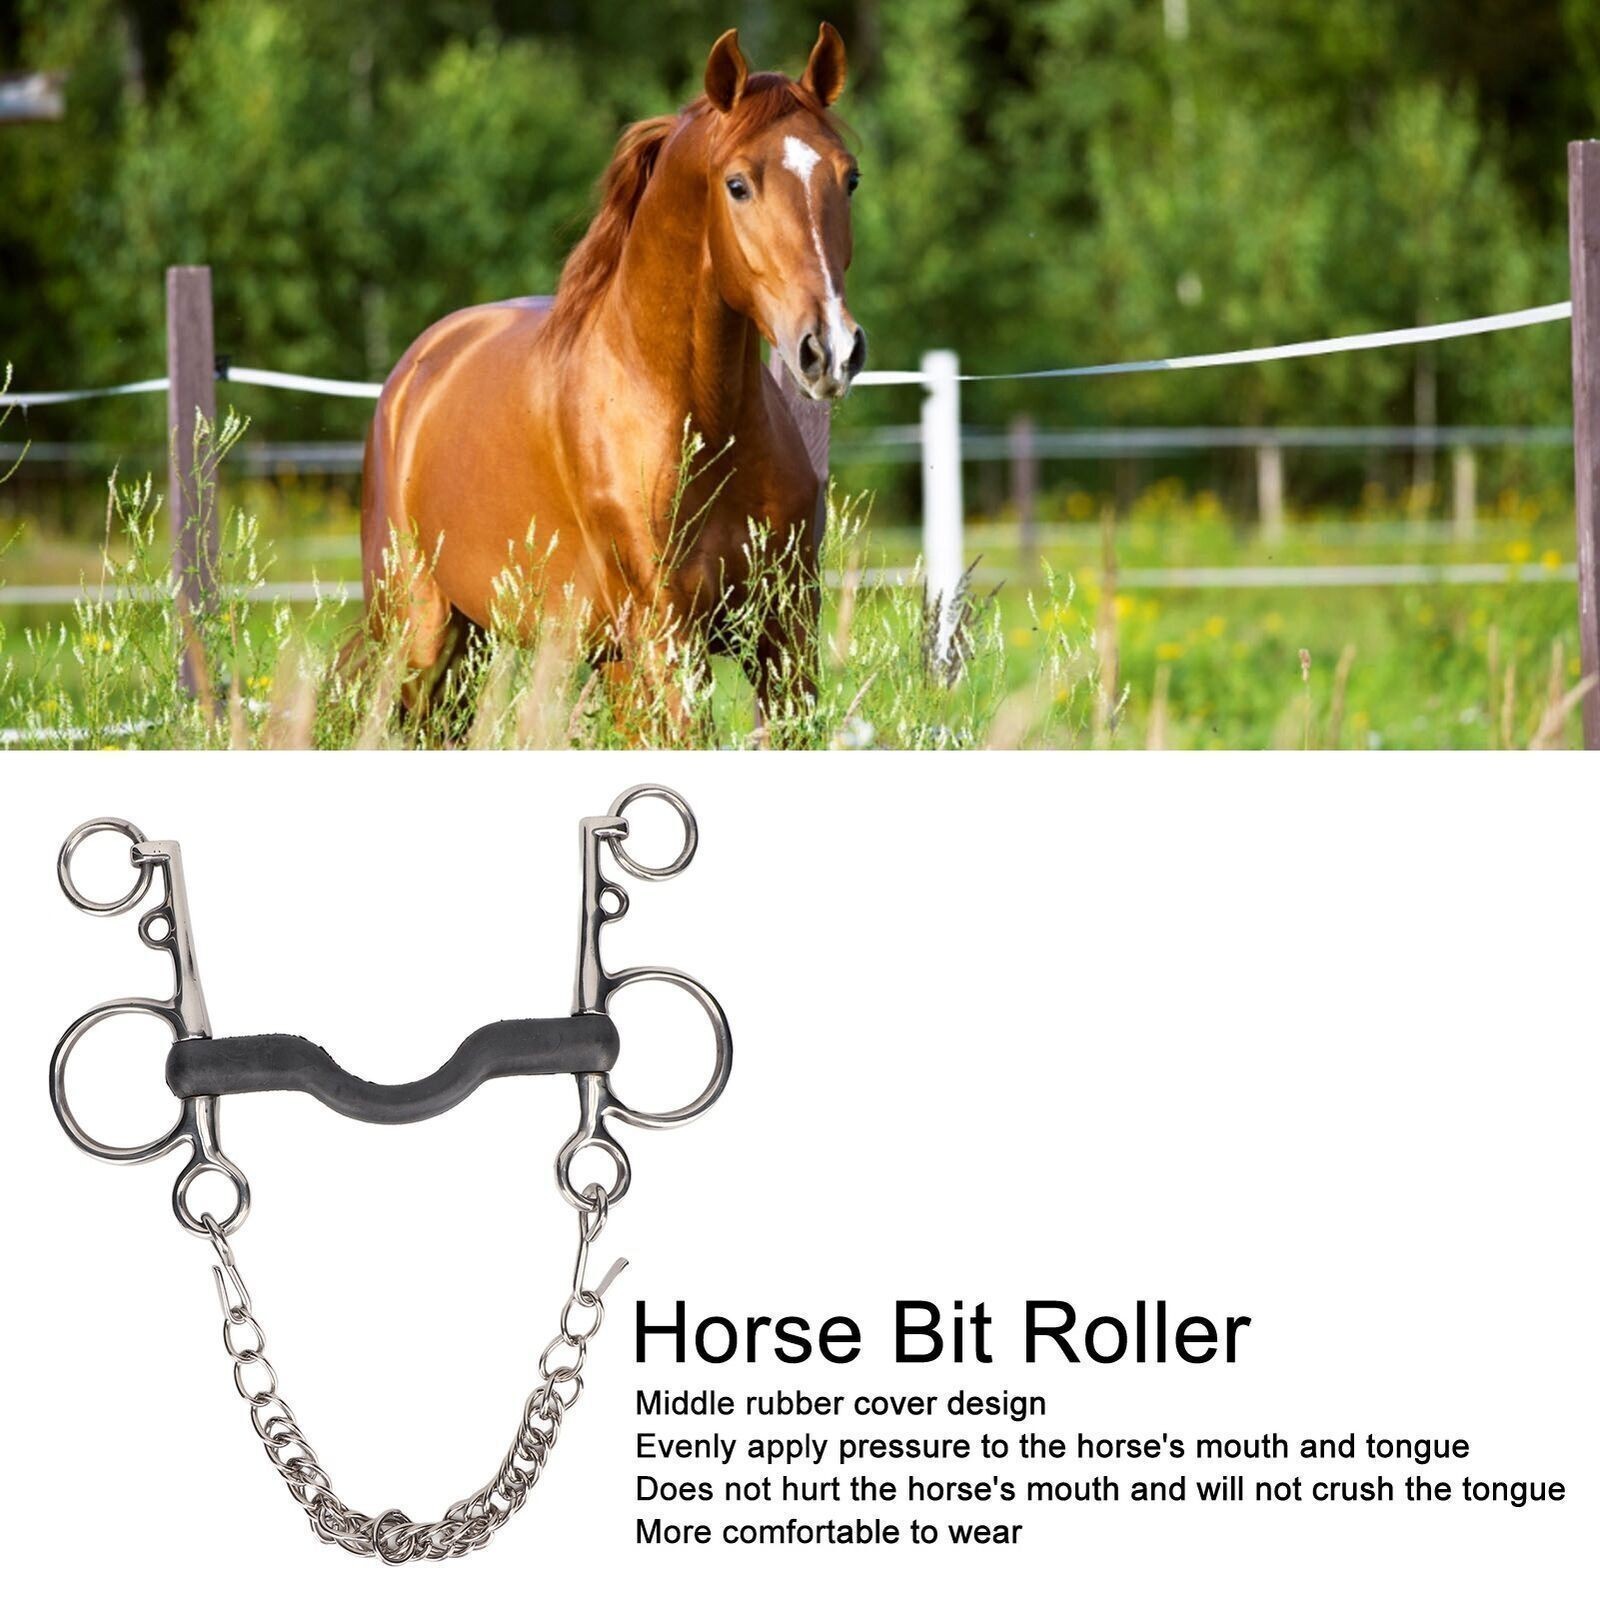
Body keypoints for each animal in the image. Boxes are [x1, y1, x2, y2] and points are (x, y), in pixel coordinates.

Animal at [360, 23, 866, 722]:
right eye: (738, 184)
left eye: (850, 178)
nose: (831, 349)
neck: (695, 420)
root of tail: (416, 370)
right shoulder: (667, 637)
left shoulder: (783, 635)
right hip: (419, 638)